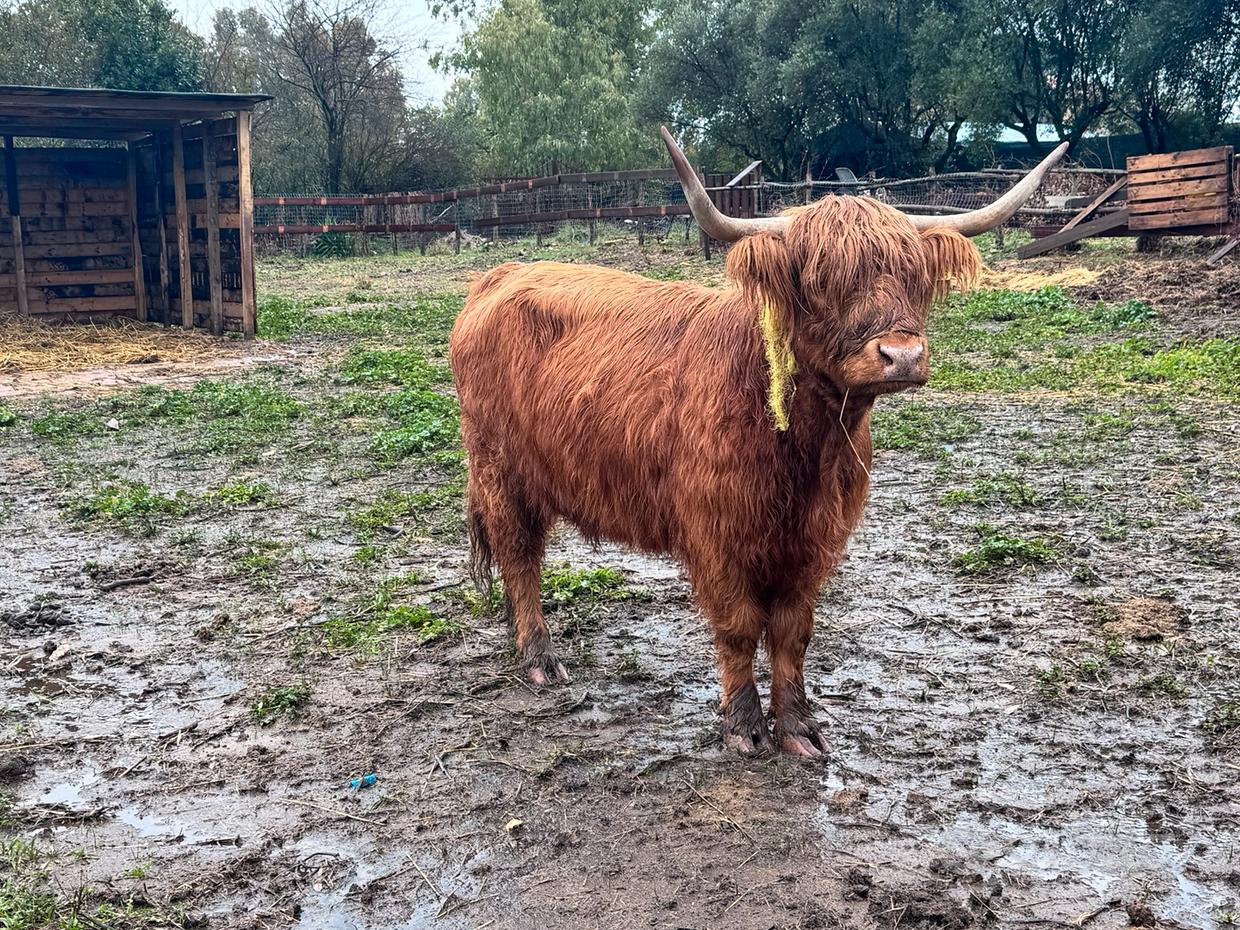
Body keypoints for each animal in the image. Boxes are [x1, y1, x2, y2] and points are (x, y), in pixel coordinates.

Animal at [450, 129, 1066, 757]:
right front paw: (744, 726)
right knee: (520, 557)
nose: (903, 356)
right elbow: (740, 628)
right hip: (500, 470)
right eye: (819, 281)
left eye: (915, 276)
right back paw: (539, 659)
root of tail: (500, 274)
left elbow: (793, 632)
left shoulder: (816, 540)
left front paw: (797, 728)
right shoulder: (716, 534)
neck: (807, 451)